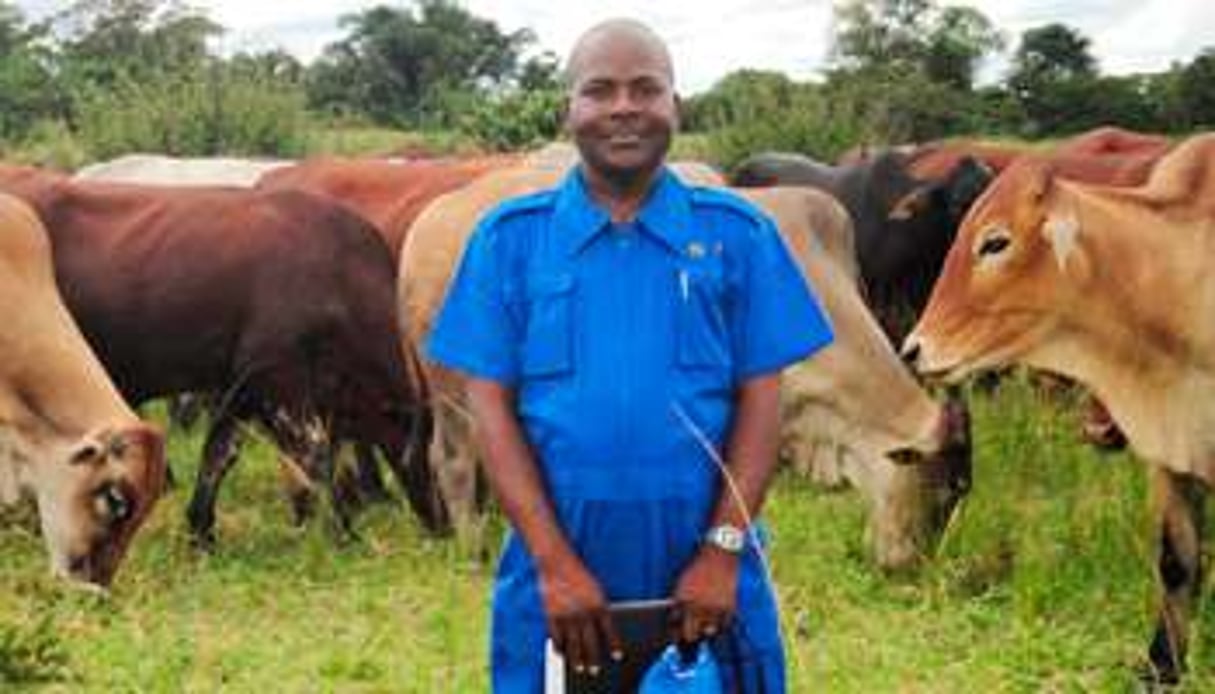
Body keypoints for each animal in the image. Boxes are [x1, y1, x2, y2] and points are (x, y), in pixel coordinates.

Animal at [0, 166, 449, 542]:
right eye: (440, 456)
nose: (447, 527)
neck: (337, 277)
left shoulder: (239, 388)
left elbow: (219, 455)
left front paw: (201, 530)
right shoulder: (280, 385)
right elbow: (314, 455)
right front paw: (344, 531)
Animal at [403, 170, 972, 571]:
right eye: (941, 491)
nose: (911, 566)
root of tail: (427, 224)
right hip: (453, 395)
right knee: (452, 461)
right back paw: (473, 553)